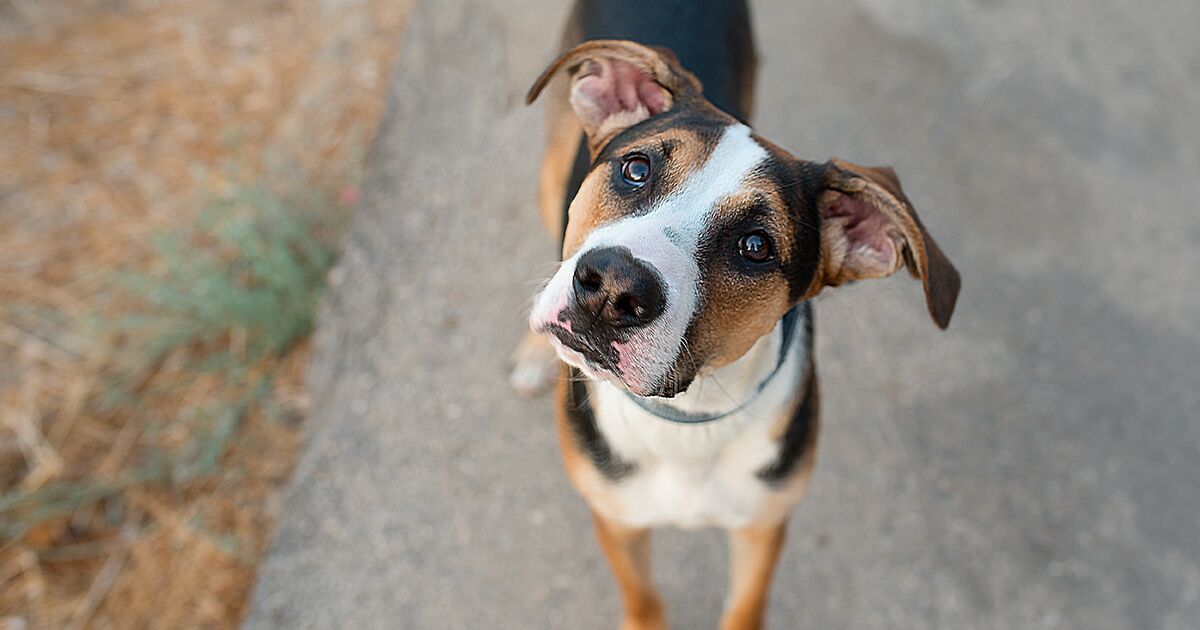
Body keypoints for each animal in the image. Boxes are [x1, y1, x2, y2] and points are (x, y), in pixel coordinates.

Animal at [511, 2, 960, 624]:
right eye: (635, 169)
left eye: (755, 246)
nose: (611, 290)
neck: (690, 416)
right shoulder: (617, 517)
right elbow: (643, 599)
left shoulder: (764, 526)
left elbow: (745, 609)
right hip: (551, 171)